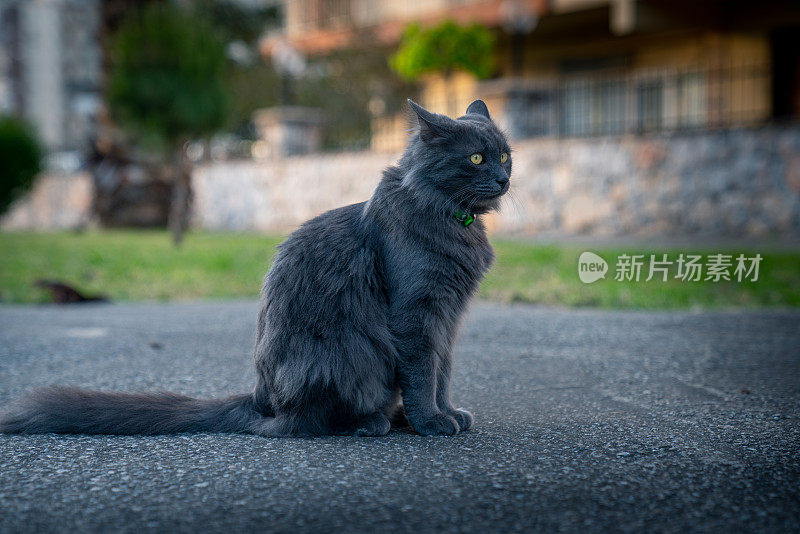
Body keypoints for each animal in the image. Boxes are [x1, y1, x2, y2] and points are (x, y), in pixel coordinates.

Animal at [0, 98, 512, 438]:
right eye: (476, 158)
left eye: (506, 154)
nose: (505, 177)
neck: (454, 218)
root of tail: (259, 400)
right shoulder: (416, 314)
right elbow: (424, 374)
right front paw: (432, 423)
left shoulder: (447, 318)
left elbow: (442, 372)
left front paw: (447, 413)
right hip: (349, 353)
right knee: (306, 422)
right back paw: (376, 422)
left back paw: (395, 416)